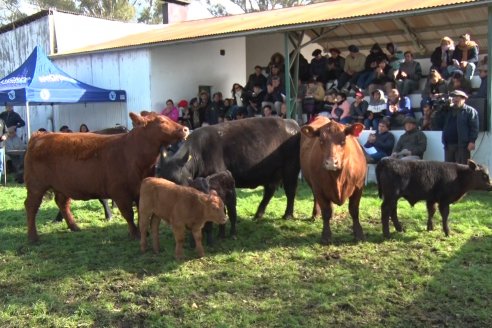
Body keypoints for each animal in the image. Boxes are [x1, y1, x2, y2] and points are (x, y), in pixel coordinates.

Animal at [24, 113, 190, 243]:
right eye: (161, 121)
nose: (185, 129)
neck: (132, 154)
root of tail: (40, 136)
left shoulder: (140, 190)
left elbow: (140, 212)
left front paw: (145, 232)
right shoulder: (120, 193)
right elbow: (129, 214)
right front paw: (135, 234)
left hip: (63, 186)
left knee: (62, 203)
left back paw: (74, 226)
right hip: (36, 185)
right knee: (31, 206)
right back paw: (32, 237)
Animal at [160, 116, 302, 226]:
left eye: (177, 181)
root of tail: (291, 123)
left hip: (290, 169)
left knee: (290, 191)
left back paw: (288, 215)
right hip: (271, 173)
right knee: (269, 191)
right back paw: (258, 215)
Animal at [300, 116, 366, 245]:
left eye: (343, 141)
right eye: (321, 141)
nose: (331, 163)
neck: (338, 177)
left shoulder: (358, 187)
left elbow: (354, 210)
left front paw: (359, 234)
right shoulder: (319, 188)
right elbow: (326, 212)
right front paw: (326, 236)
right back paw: (316, 214)